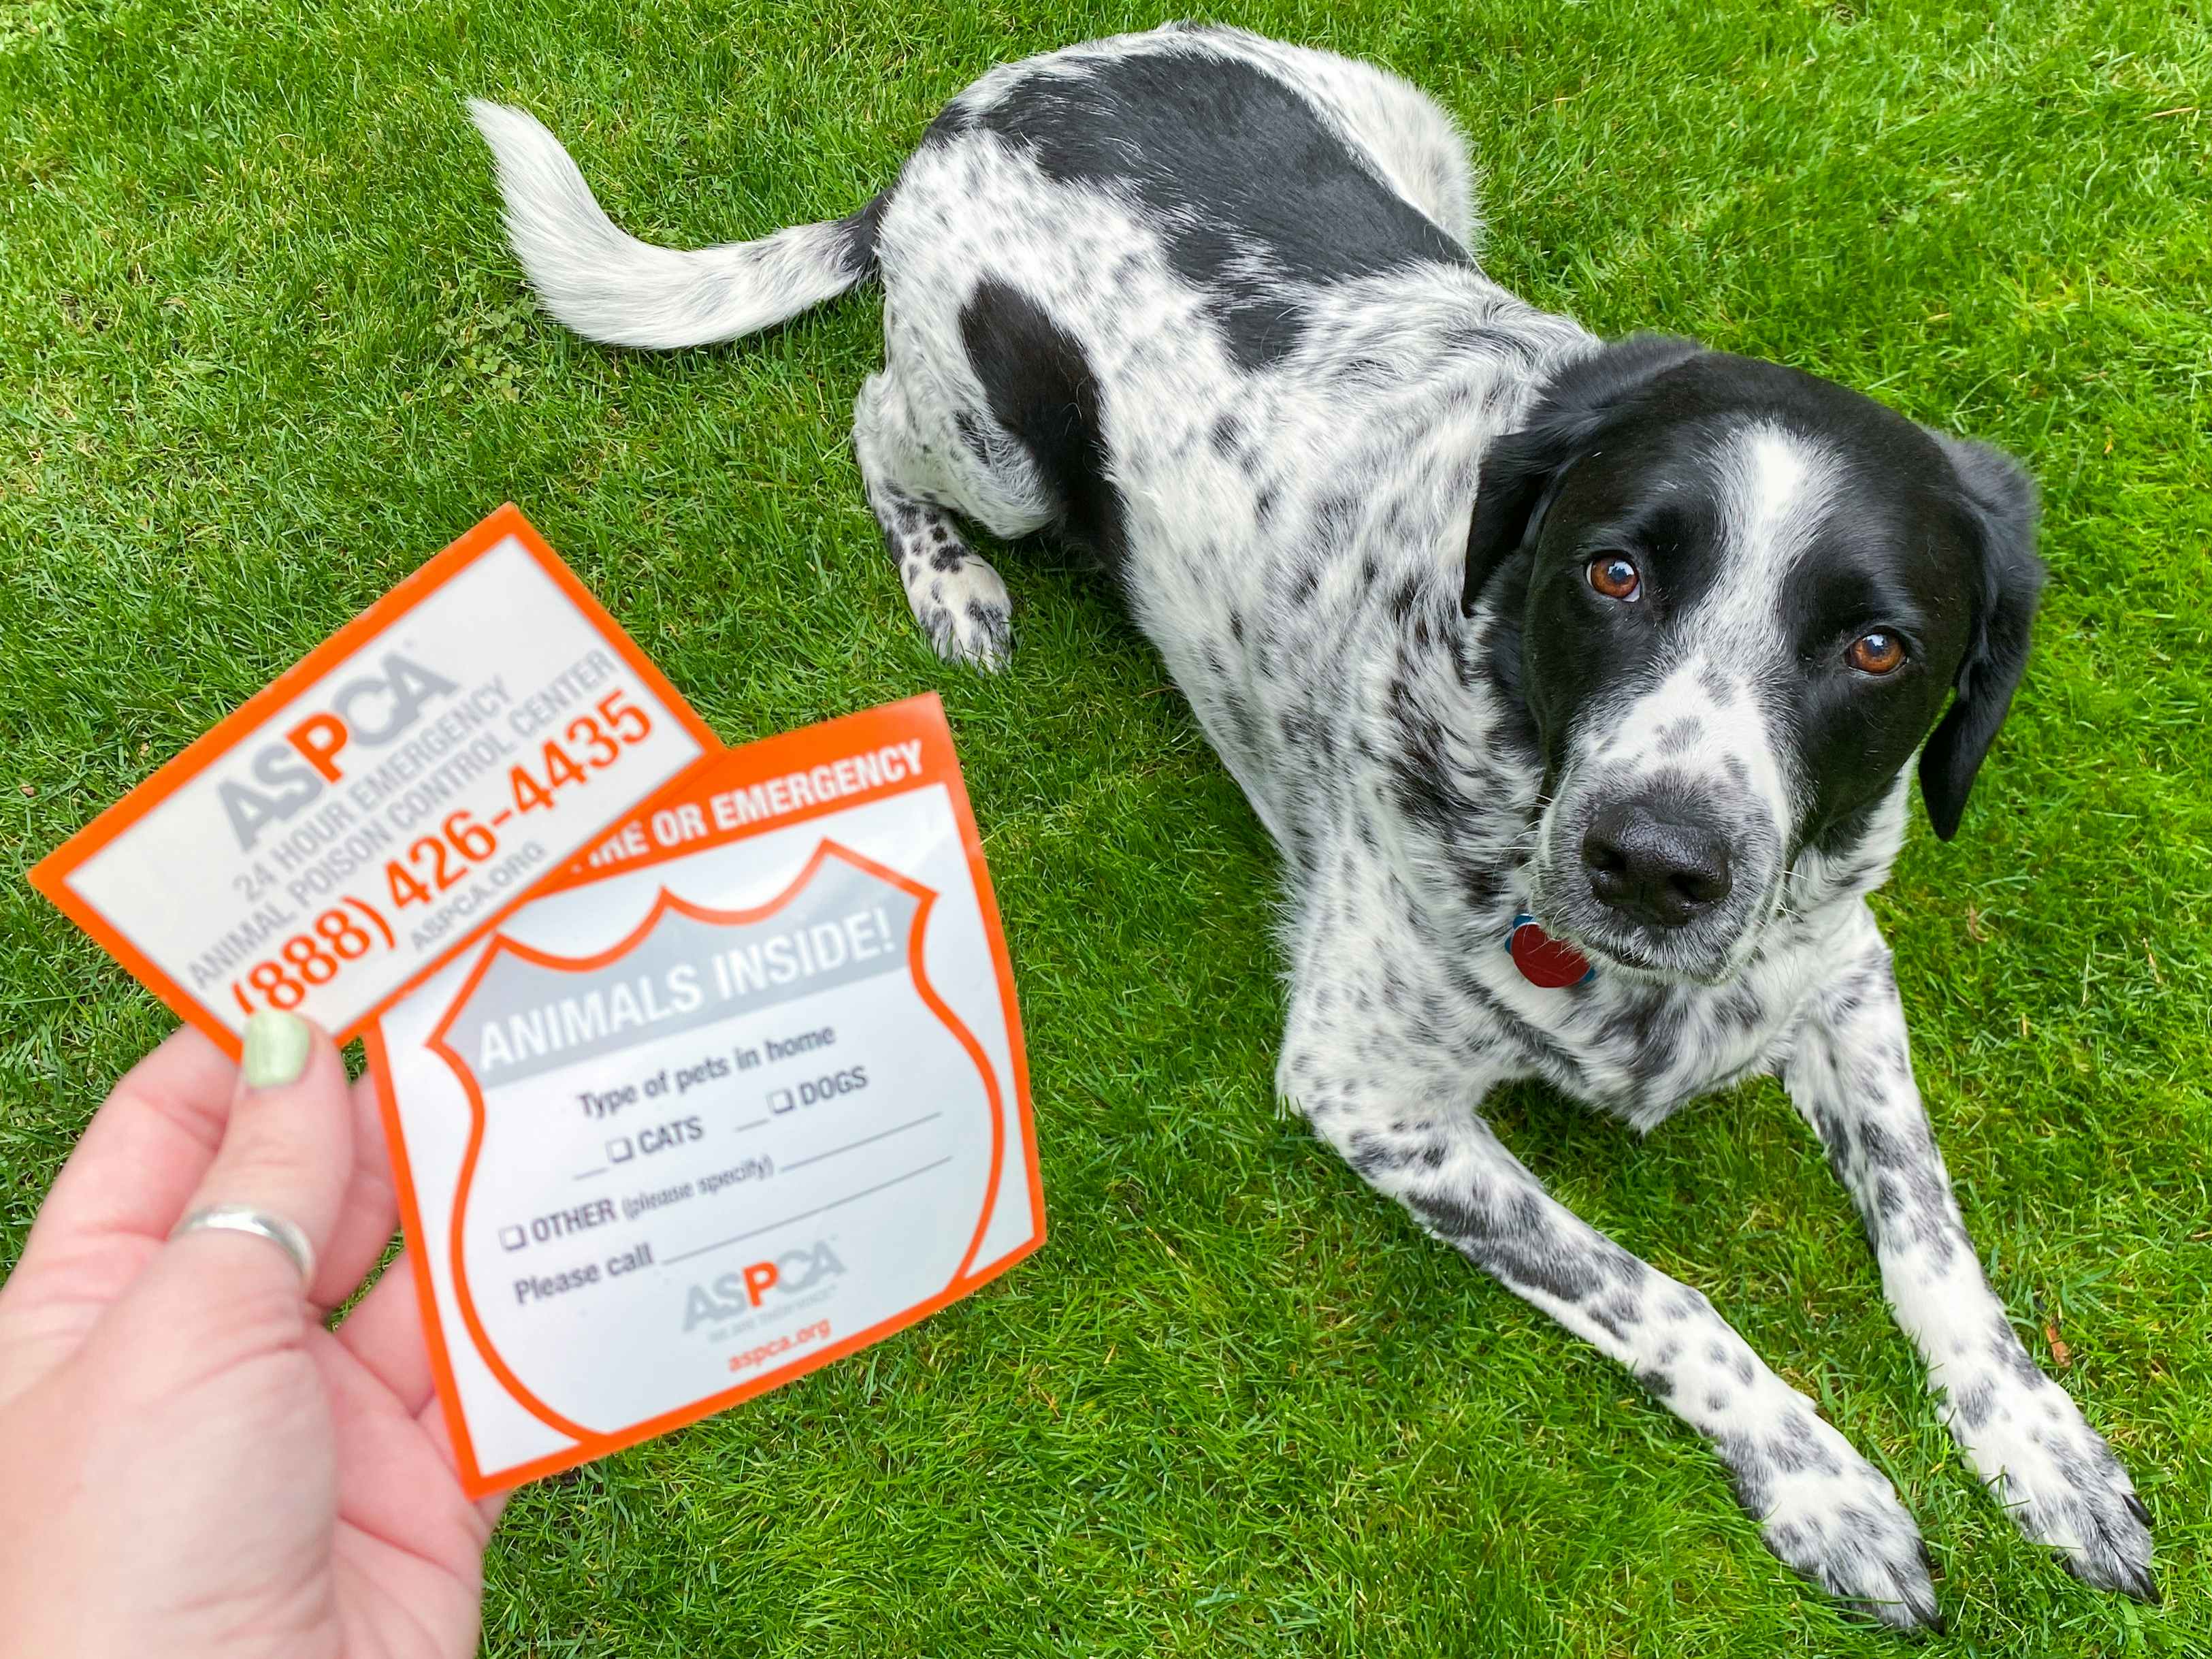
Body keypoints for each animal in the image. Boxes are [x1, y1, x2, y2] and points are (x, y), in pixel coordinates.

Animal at [475, 26, 2150, 1628]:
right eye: (1610, 572)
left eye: (1876, 648)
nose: (1655, 864)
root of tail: (965, 115)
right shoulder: (1369, 1094)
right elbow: (1663, 1296)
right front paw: (1824, 1486)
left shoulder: (1844, 974)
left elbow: (1931, 1235)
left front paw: (2041, 1446)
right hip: (991, 445)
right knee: (871, 420)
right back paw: (950, 577)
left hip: (1424, 144)